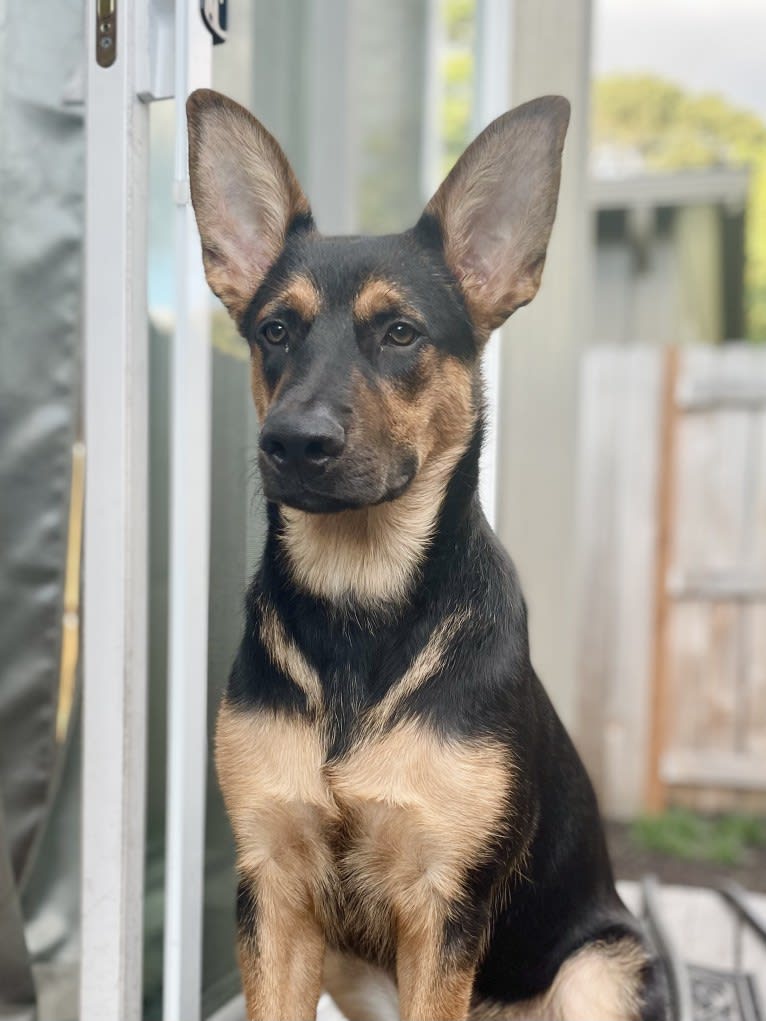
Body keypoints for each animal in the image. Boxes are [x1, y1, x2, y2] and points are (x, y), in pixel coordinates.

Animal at [187, 89, 669, 1021]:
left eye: (402, 333)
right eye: (274, 330)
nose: (291, 443)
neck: (360, 603)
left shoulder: (445, 902)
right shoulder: (275, 888)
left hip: (600, 969)